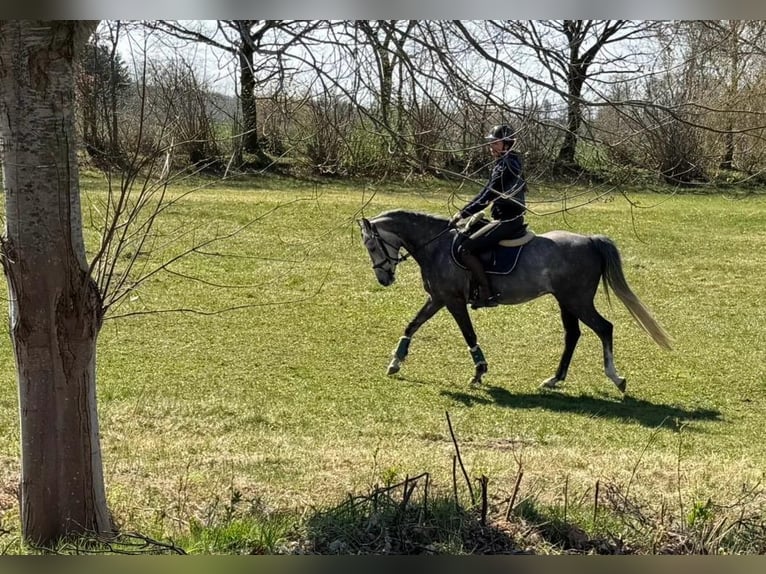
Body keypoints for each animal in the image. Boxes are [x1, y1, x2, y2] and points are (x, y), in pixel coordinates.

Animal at [358, 209, 672, 393]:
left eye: (371, 245)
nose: (384, 279)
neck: (436, 246)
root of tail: (589, 240)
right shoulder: (437, 298)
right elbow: (412, 325)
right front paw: (395, 363)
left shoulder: (453, 301)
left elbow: (468, 334)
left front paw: (479, 372)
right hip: (566, 301)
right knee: (573, 335)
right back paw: (554, 379)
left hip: (577, 300)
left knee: (604, 328)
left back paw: (616, 378)